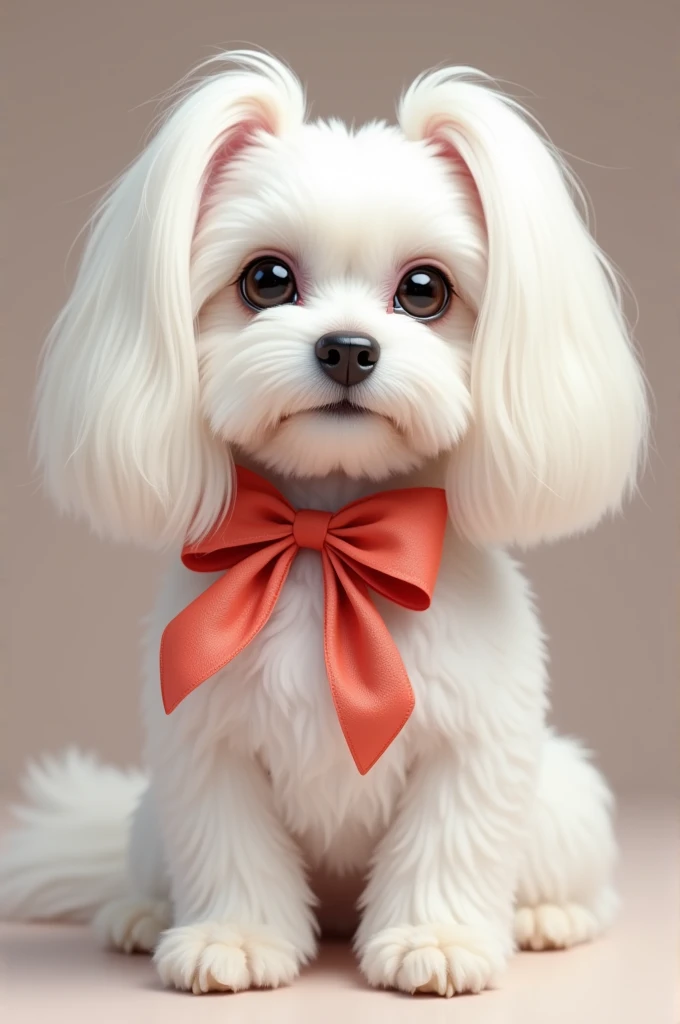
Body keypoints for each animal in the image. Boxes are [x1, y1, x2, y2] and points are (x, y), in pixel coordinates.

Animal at [0, 51, 647, 995]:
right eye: (267, 280)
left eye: (425, 290)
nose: (346, 348)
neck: (323, 535)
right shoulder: (206, 743)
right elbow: (231, 845)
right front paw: (233, 937)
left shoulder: (473, 742)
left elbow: (449, 837)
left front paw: (434, 937)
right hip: (150, 818)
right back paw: (142, 913)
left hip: (561, 801)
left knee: (579, 883)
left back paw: (545, 917)